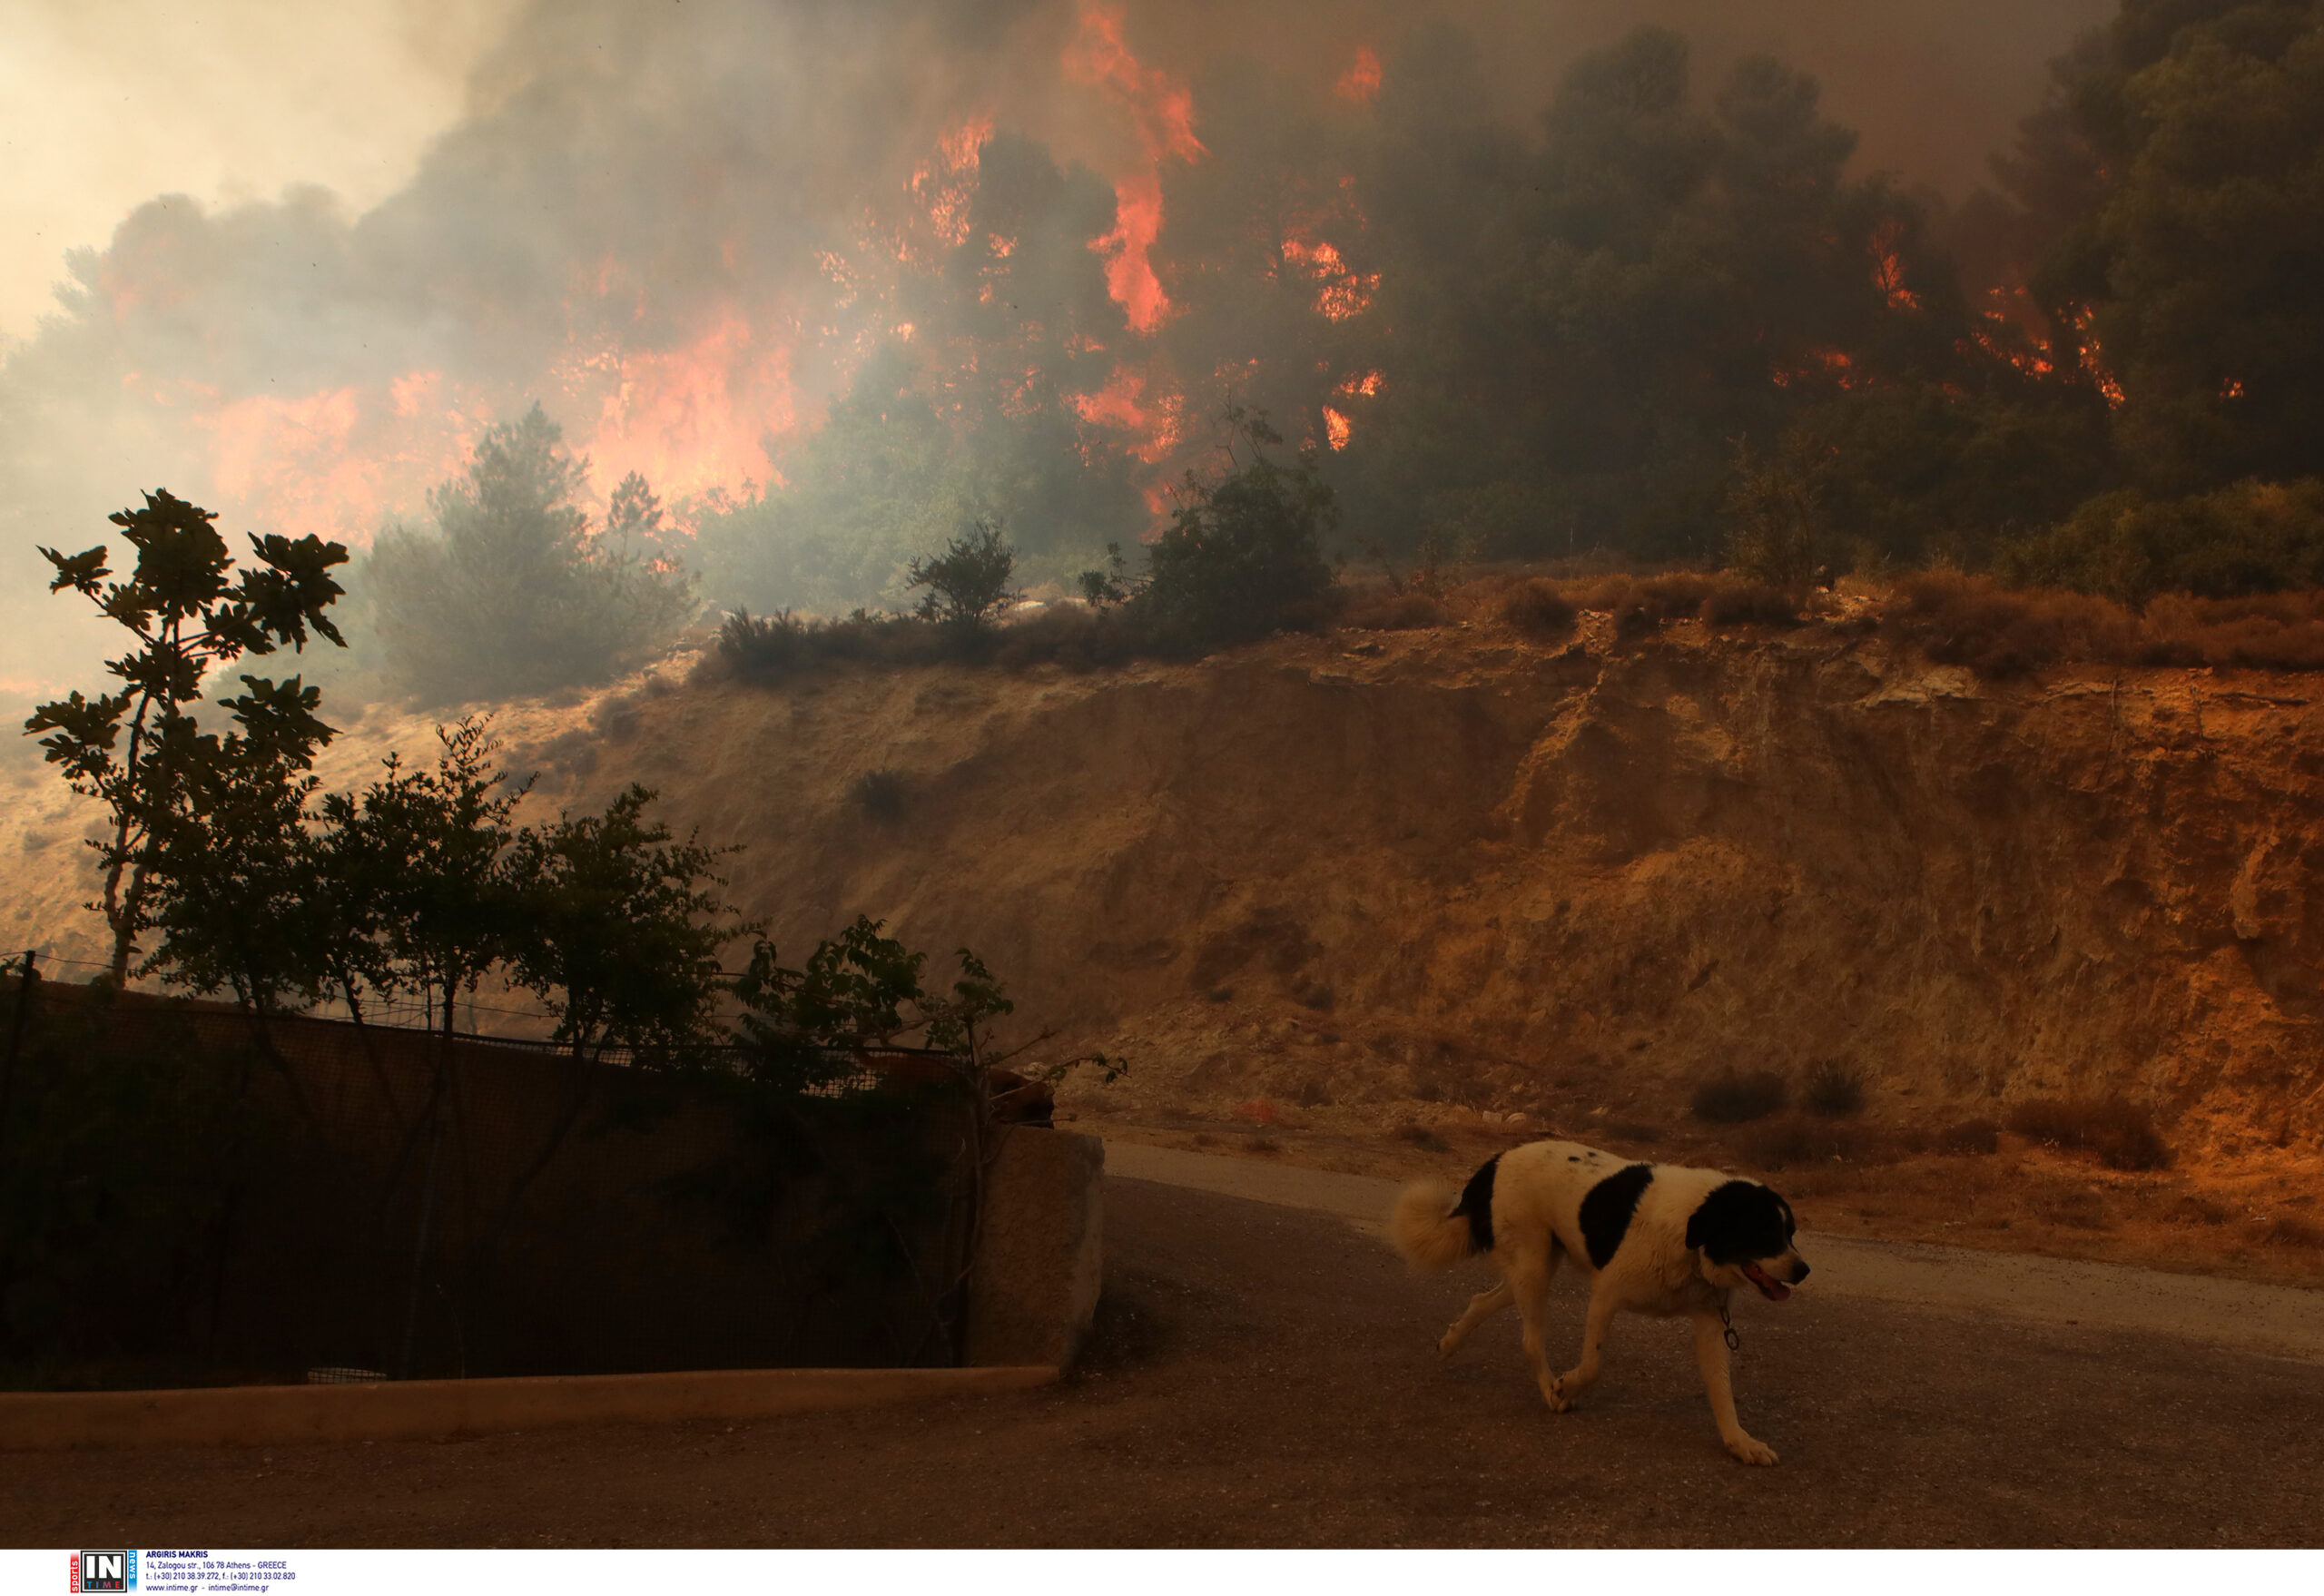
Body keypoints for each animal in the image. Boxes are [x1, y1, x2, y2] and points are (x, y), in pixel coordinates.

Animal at [1384, 1143, 1803, 1468]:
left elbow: (1722, 1390)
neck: (1690, 1236)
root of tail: (1499, 1158)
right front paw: (1566, 1388)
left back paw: (1450, 1343)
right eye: (1766, 1233)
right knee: (1530, 1340)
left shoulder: (1710, 1324)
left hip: (1535, 1267)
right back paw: (1548, 1391)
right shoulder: (1605, 1295)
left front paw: (1740, 1443)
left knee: (1482, 1301)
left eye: (1791, 1233)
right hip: (1533, 1266)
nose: (1804, 1270)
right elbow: (1592, 1365)